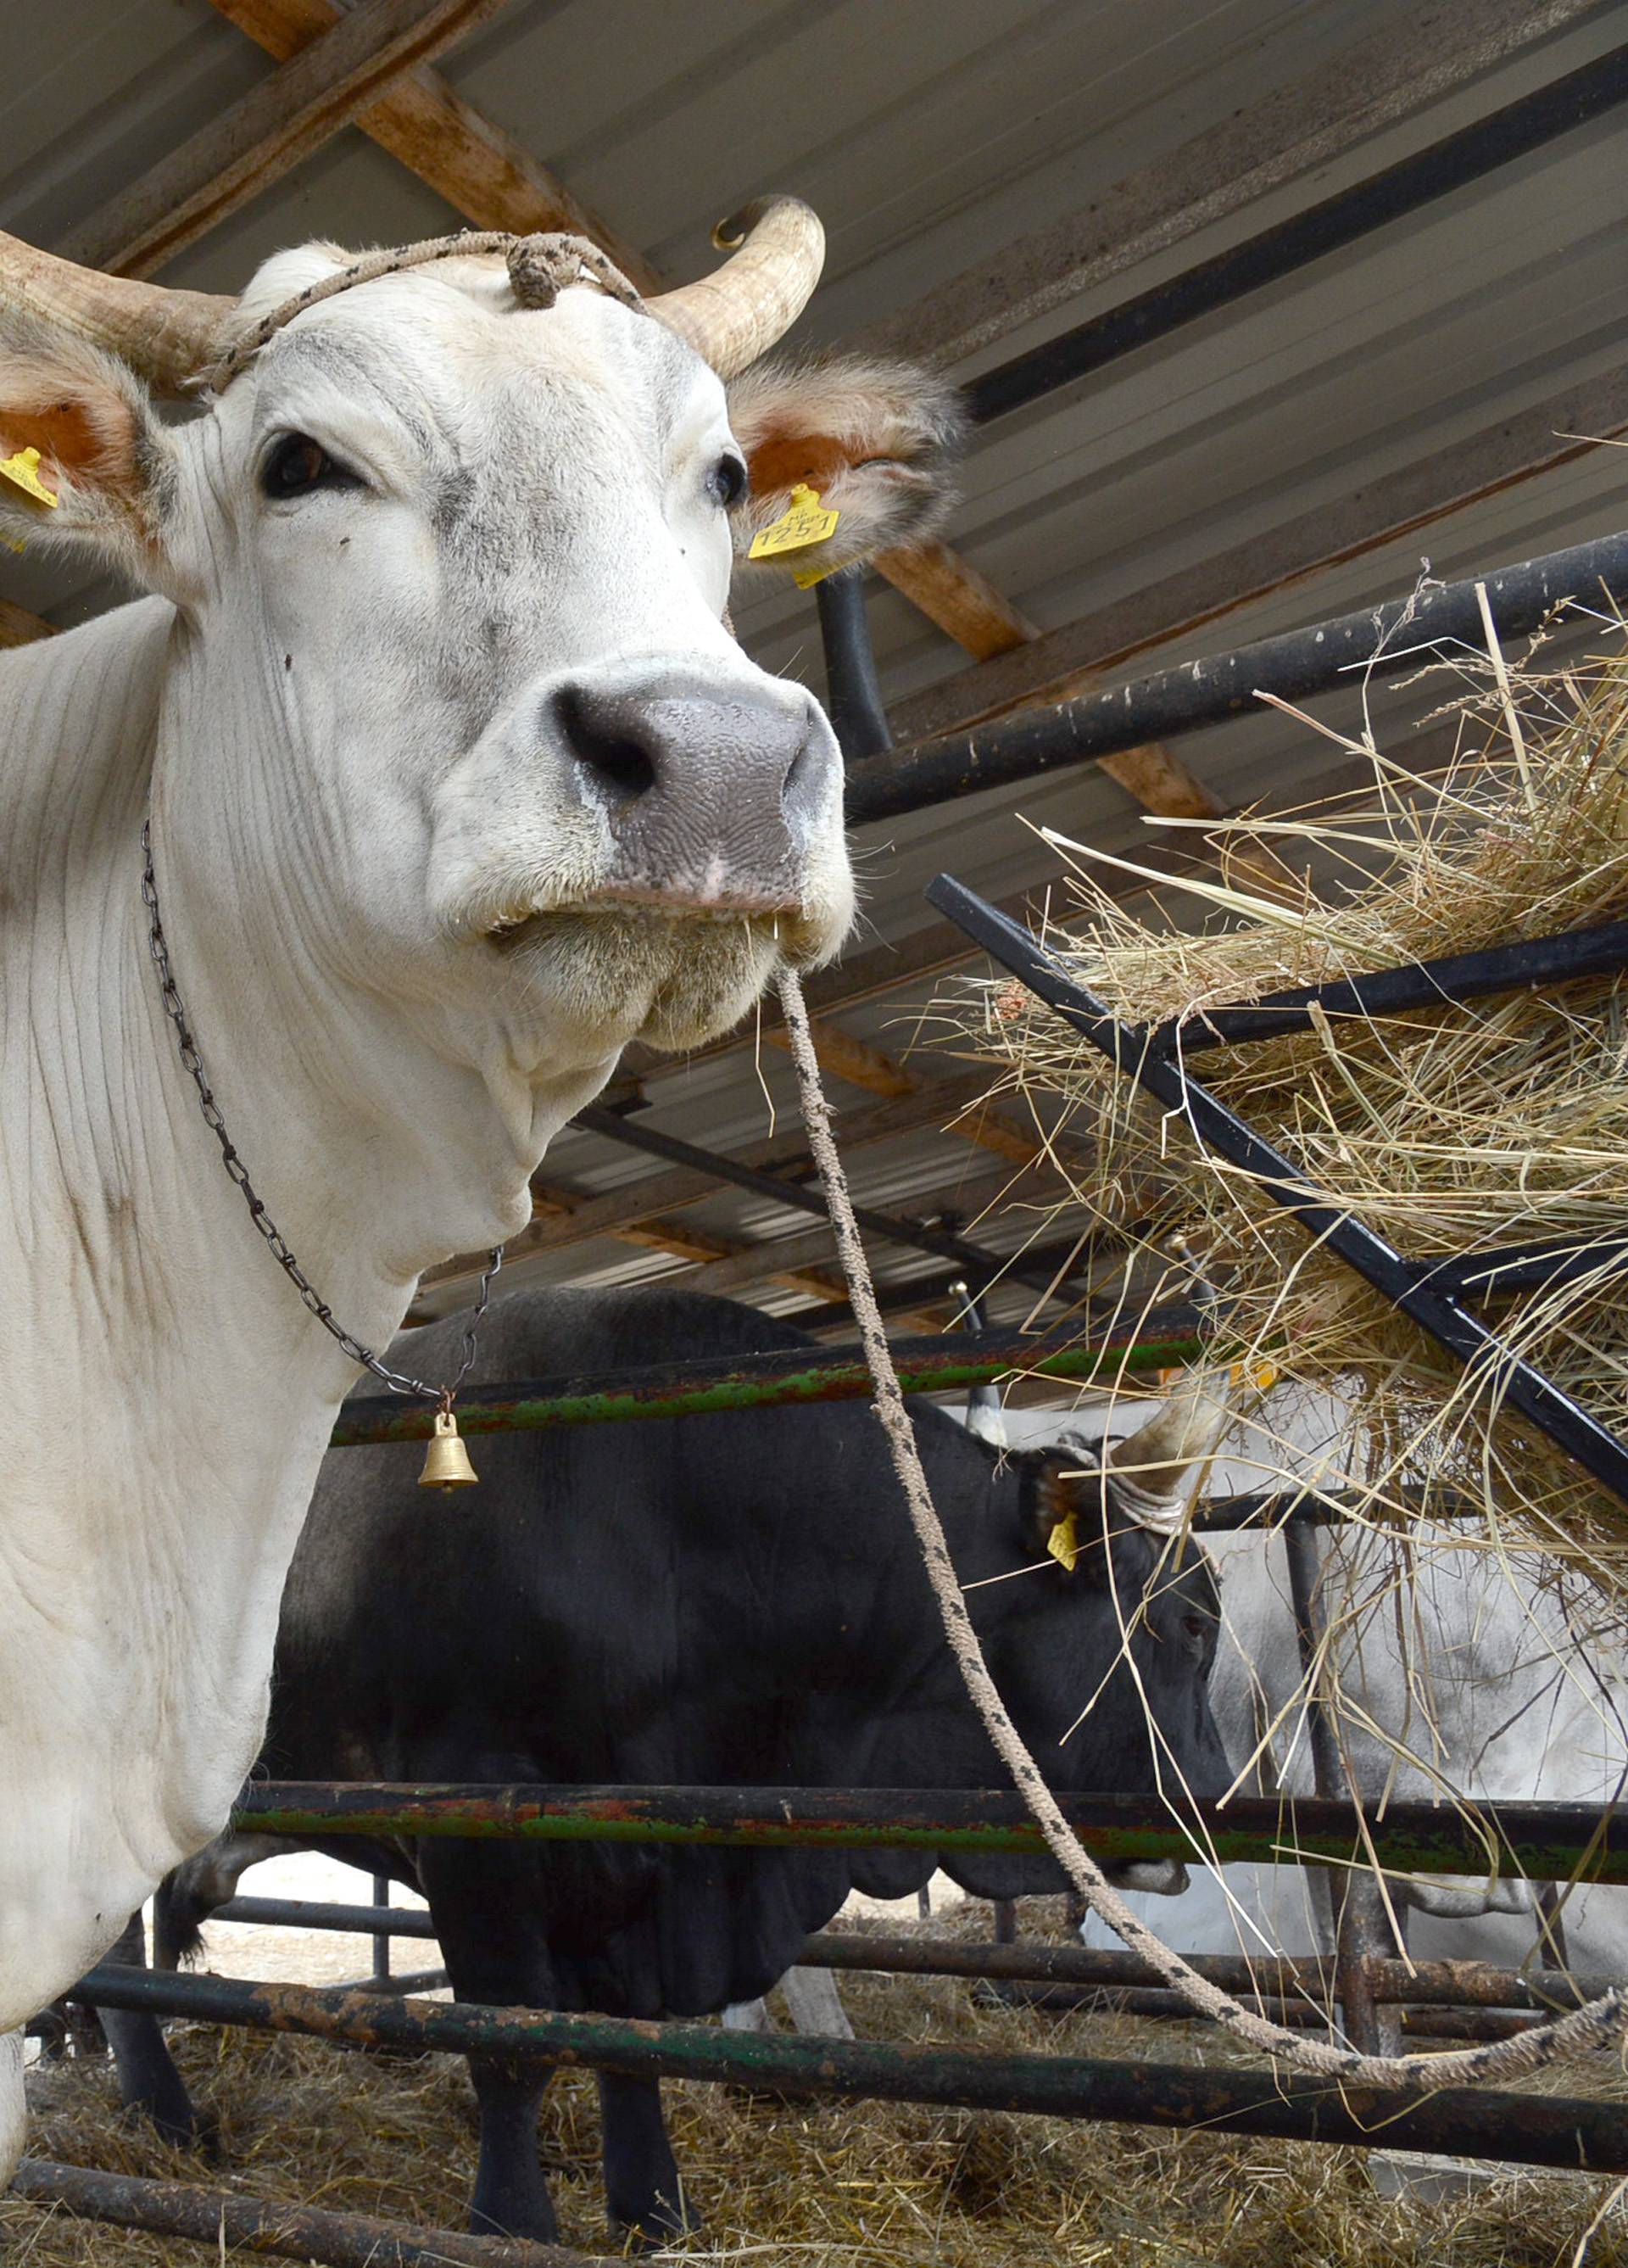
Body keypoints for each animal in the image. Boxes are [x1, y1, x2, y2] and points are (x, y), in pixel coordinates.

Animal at [108, 1288, 1233, 2240]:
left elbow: (628, 2041)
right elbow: (508, 2045)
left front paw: (655, 2211)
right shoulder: (474, 1826)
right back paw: (163, 2113)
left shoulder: (642, 1847)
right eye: (1184, 1623)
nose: (1219, 1801)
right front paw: (511, 2223)